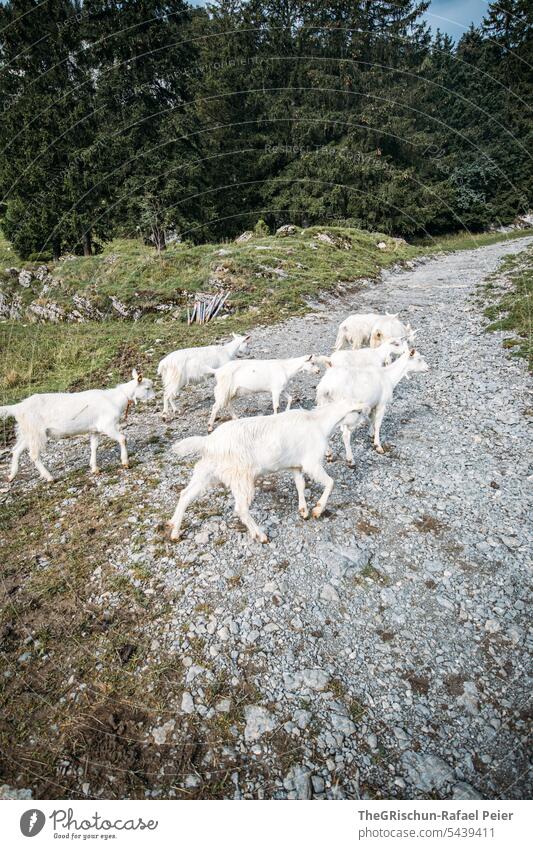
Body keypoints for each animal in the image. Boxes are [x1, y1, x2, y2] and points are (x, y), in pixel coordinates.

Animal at [0, 368, 154, 480]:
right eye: (147, 388)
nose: (154, 397)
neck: (114, 399)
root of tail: (18, 407)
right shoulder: (107, 425)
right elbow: (123, 438)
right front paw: (125, 462)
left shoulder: (94, 429)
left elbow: (94, 447)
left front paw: (94, 468)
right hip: (36, 431)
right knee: (33, 455)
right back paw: (49, 477)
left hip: (27, 432)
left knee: (16, 450)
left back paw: (11, 476)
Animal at [168, 400, 368, 544]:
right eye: (358, 411)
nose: (364, 422)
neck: (318, 423)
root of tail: (209, 442)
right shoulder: (311, 463)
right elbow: (330, 482)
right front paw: (318, 509)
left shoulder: (296, 465)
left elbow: (300, 485)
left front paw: (303, 510)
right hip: (241, 477)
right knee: (241, 509)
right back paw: (260, 535)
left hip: (206, 472)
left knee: (185, 495)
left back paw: (174, 529)